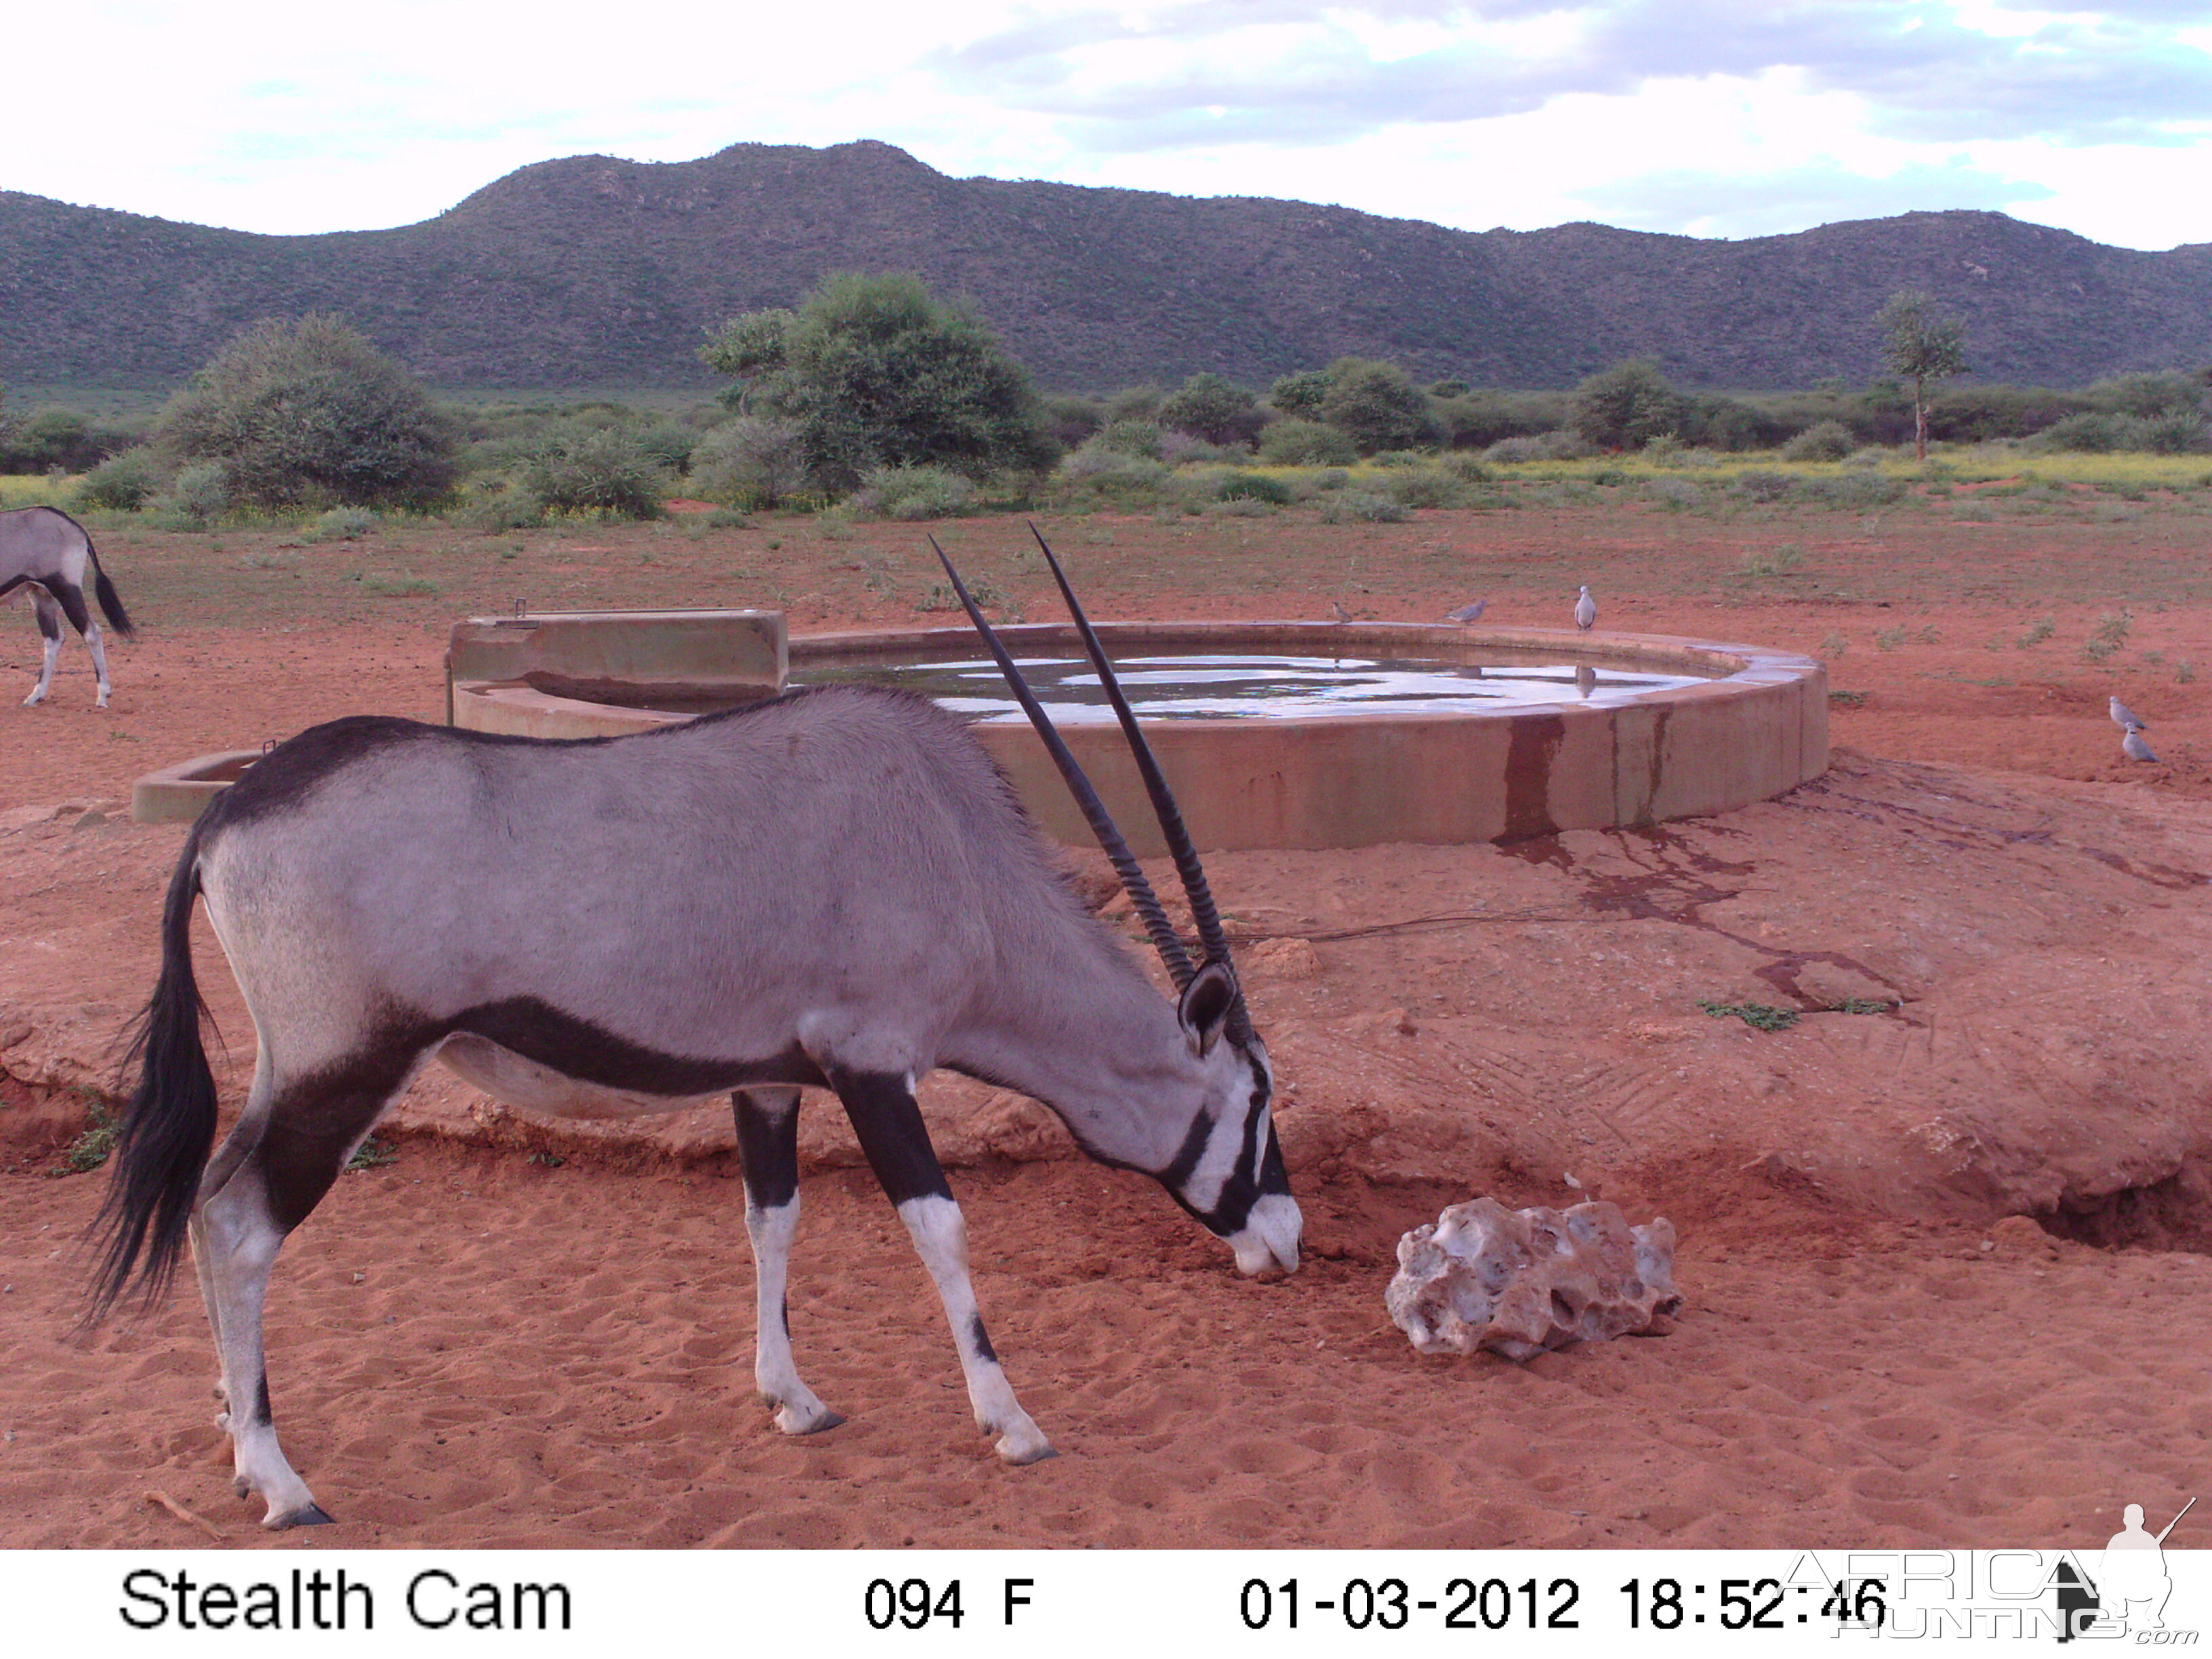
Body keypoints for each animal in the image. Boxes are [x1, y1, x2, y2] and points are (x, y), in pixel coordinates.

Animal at [3, 506, 134, 716]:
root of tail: (74, 525)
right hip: (41, 596)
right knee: (53, 638)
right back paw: (36, 695)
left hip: (67, 590)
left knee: (91, 632)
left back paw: (103, 695)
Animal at [90, 535, 1292, 1530]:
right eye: (1257, 1098)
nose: (1285, 1243)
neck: (959, 860)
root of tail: (225, 811)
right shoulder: (873, 1067)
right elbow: (941, 1231)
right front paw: (1013, 1423)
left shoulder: (772, 1080)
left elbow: (773, 1223)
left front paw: (794, 1399)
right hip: (348, 1068)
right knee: (240, 1221)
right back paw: (282, 1482)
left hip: (290, 1071)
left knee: (207, 1200)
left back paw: (236, 1436)